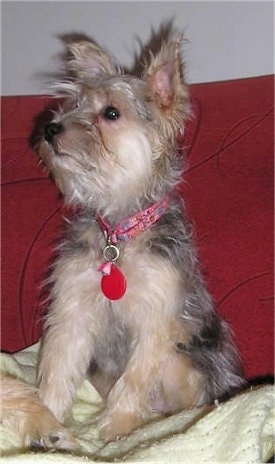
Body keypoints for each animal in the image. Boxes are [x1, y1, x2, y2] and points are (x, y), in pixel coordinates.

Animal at [0, 29, 246, 450]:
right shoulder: (72, 312)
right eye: (73, 105)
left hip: (188, 361)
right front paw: (47, 422)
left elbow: (133, 381)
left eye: (111, 114)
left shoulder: (157, 321)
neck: (118, 232)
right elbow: (58, 370)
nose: (50, 129)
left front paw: (116, 432)